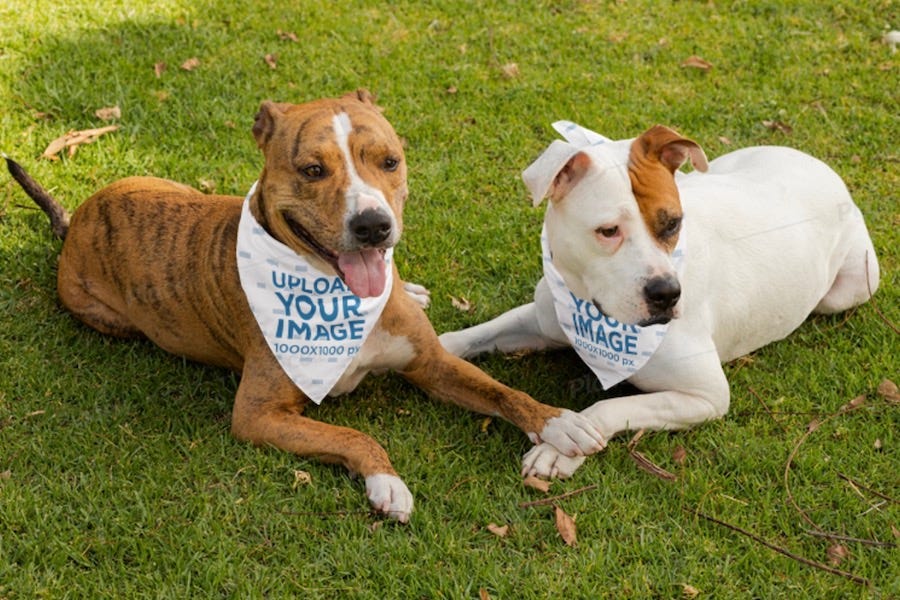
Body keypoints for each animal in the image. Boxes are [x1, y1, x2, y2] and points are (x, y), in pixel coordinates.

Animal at [8, 89, 604, 520]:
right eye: (312, 170)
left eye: (389, 161)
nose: (373, 226)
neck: (337, 297)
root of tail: (77, 221)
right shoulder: (258, 415)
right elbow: (352, 435)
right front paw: (386, 481)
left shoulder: (431, 364)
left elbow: (502, 391)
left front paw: (559, 424)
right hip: (106, 316)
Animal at [442, 120, 880, 478]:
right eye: (608, 231)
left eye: (673, 224)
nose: (667, 293)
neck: (589, 307)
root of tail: (818, 163)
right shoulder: (543, 319)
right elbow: (471, 336)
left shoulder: (705, 395)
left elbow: (612, 407)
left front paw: (561, 447)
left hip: (848, 288)